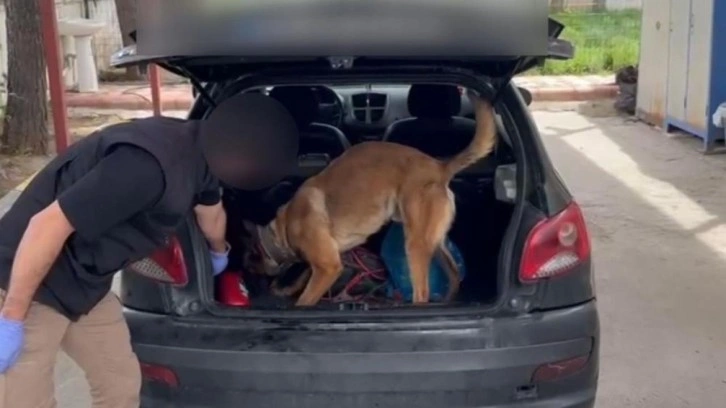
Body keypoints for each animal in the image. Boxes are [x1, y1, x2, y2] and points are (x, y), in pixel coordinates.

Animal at [241, 90, 496, 306]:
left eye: (249, 267)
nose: (249, 287)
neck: (283, 229)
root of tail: (440, 167)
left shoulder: (327, 266)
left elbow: (304, 300)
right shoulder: (326, 262)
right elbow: (303, 278)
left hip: (415, 244)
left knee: (422, 292)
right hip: (435, 241)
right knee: (453, 274)